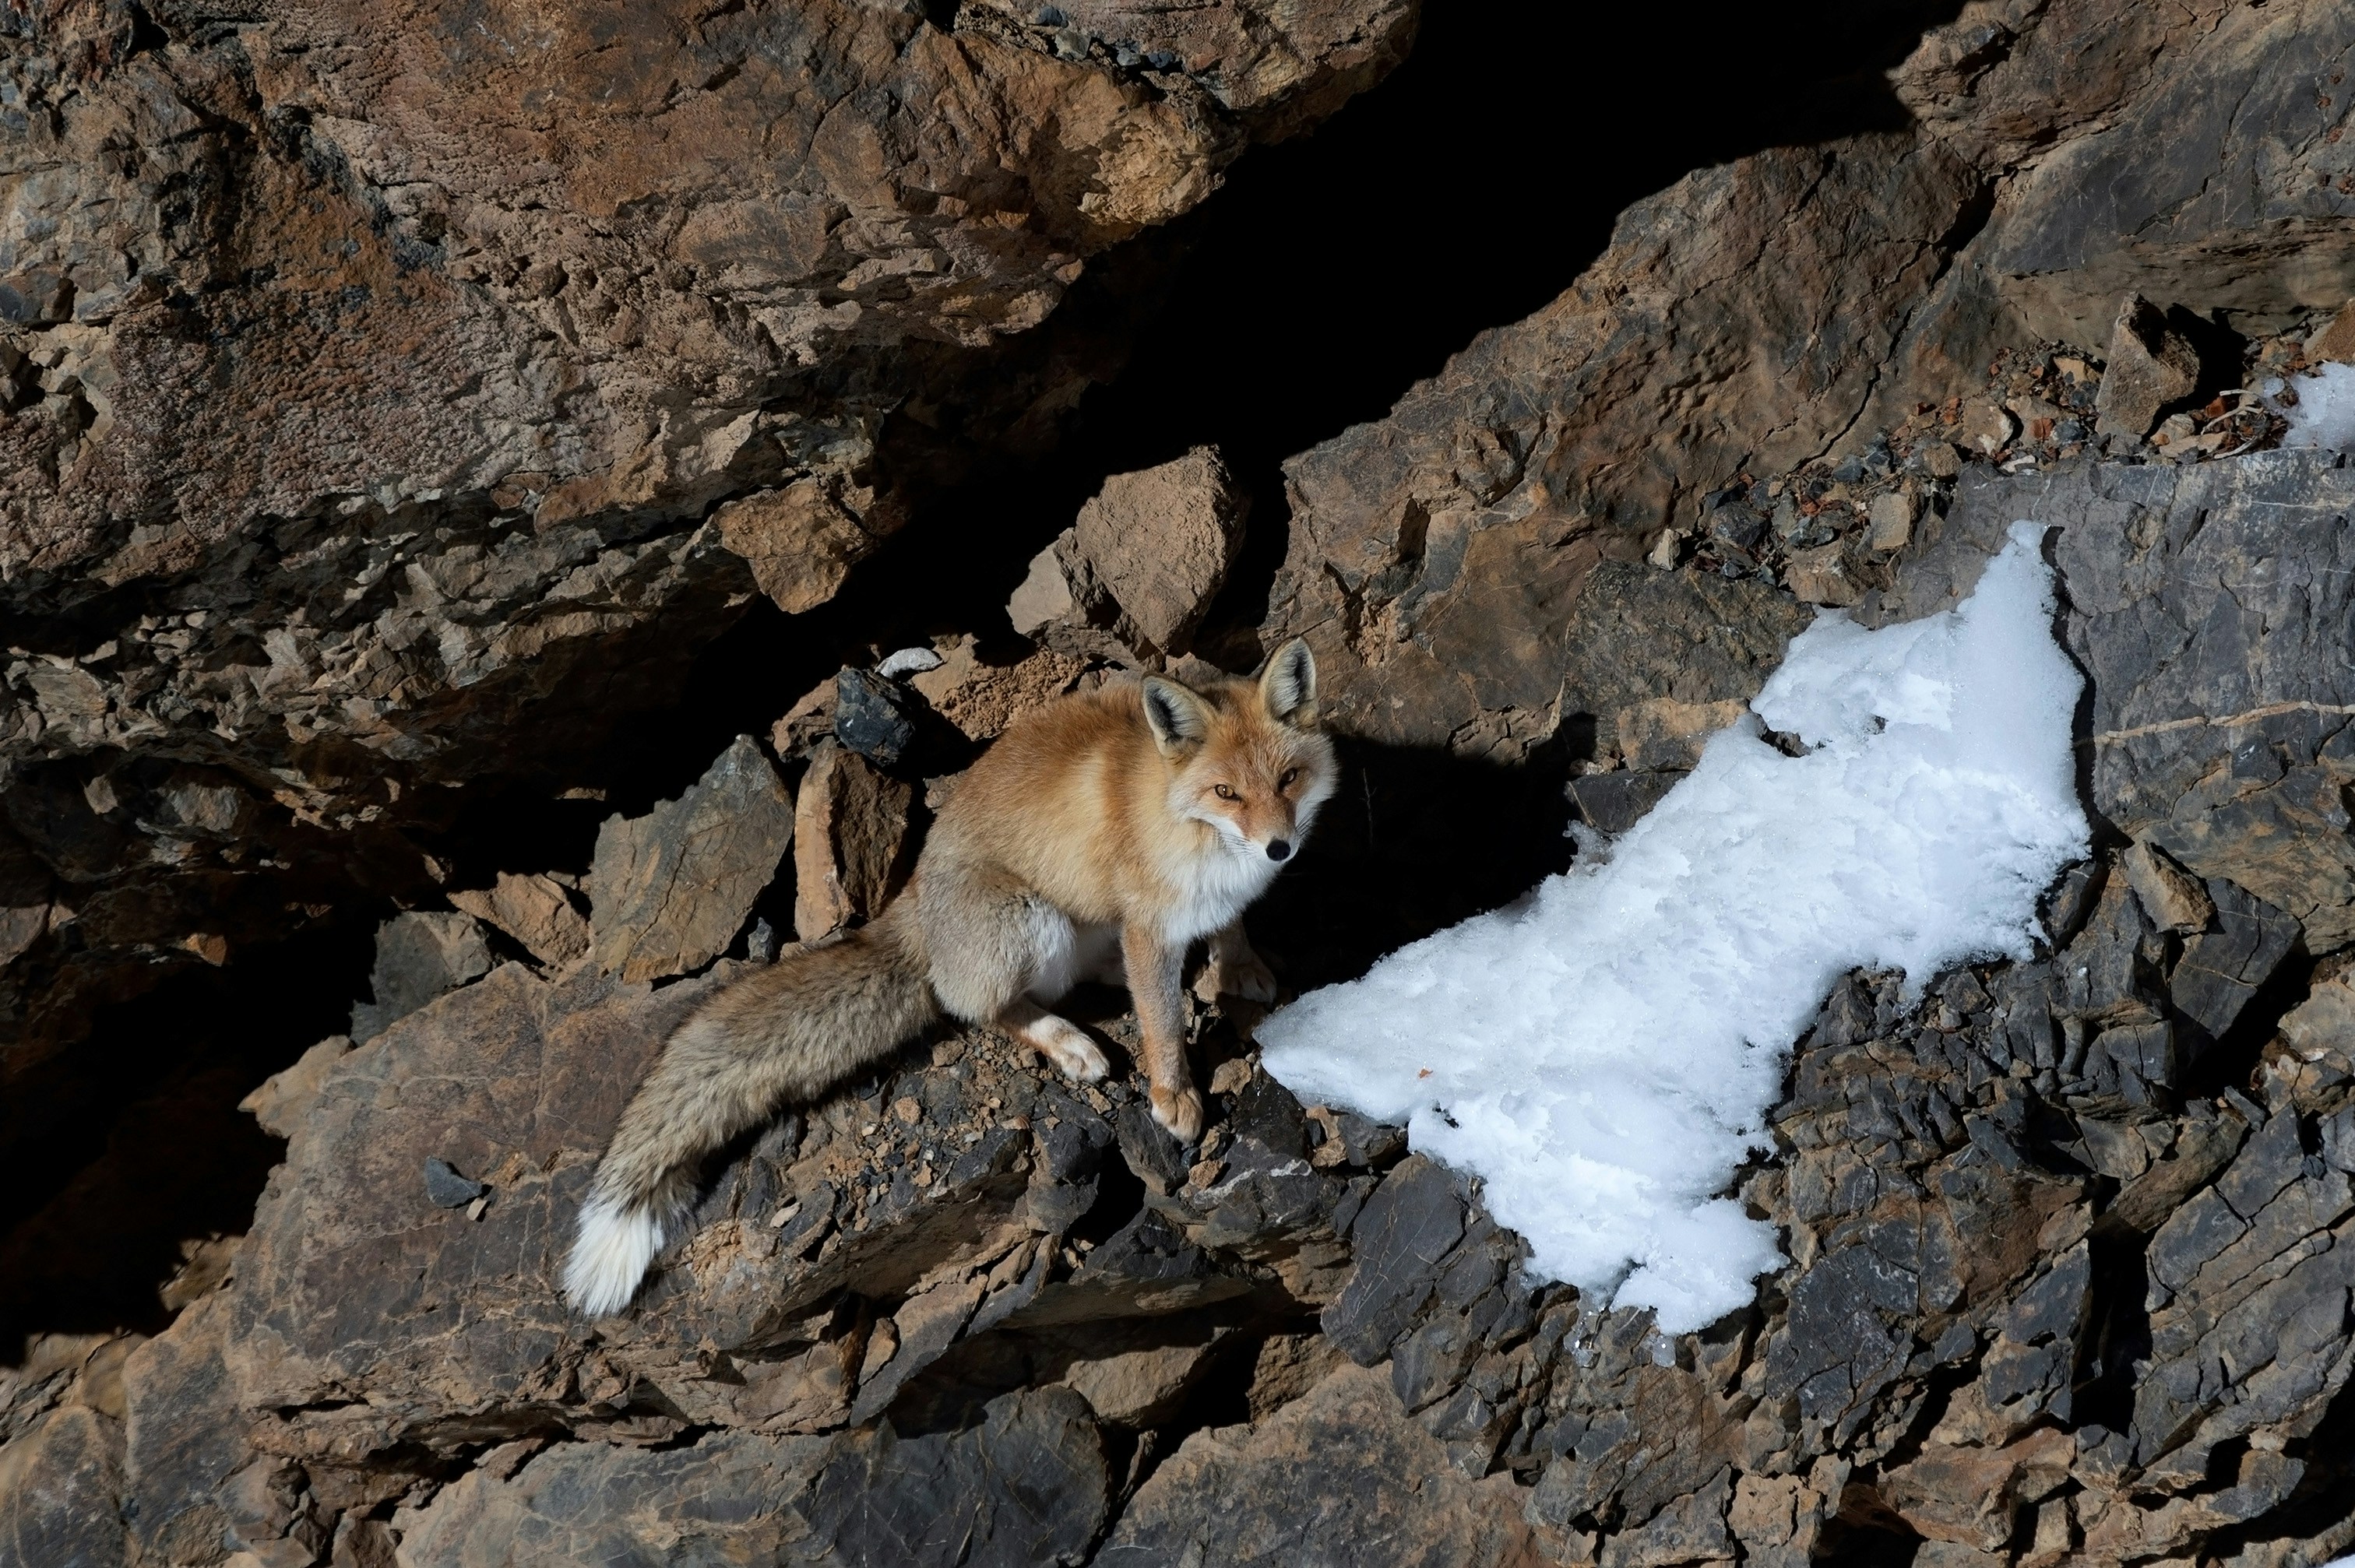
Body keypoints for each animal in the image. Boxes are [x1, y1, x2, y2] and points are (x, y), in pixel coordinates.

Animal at [562, 639, 1337, 1316]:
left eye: (1287, 780)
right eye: (1226, 792)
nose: (1280, 847)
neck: (1190, 826)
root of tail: (912, 907)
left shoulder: (1209, 902)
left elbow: (1230, 926)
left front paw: (1237, 965)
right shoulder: (1149, 922)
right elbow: (1163, 1026)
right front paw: (1174, 1095)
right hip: (1032, 923)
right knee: (978, 1005)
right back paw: (1069, 1043)